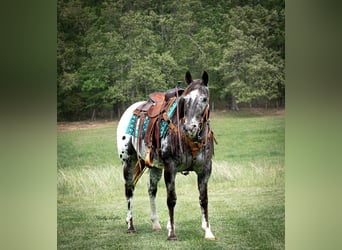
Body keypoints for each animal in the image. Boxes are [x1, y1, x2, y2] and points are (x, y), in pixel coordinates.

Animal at [116, 70, 215, 240]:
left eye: (204, 99)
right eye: (185, 100)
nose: (190, 127)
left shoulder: (204, 170)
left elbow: (204, 199)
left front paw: (208, 231)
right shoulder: (171, 168)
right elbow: (171, 199)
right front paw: (172, 234)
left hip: (154, 166)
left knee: (151, 190)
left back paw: (156, 224)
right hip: (128, 161)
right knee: (129, 189)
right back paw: (130, 226)